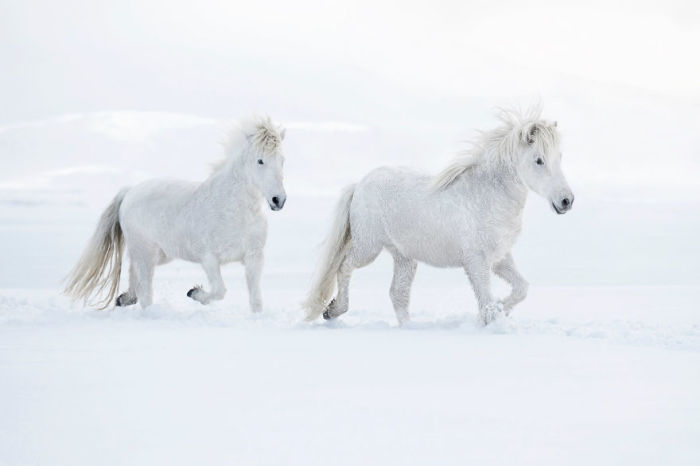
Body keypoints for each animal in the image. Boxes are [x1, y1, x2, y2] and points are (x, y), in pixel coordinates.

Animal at [63, 116, 288, 314]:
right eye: (260, 161)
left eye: (282, 160)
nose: (278, 200)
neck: (236, 211)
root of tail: (130, 191)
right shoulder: (209, 258)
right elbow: (219, 291)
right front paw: (194, 292)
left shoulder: (254, 258)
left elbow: (255, 299)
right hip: (145, 253)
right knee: (145, 293)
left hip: (159, 255)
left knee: (135, 279)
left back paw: (123, 298)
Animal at [306, 106, 576, 326]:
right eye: (538, 160)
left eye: (560, 157)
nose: (566, 201)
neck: (487, 196)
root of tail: (360, 183)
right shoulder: (476, 261)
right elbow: (487, 302)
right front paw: (494, 317)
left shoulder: (500, 258)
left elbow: (521, 288)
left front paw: (502, 309)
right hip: (368, 247)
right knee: (345, 267)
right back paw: (333, 310)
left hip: (404, 257)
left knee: (398, 294)